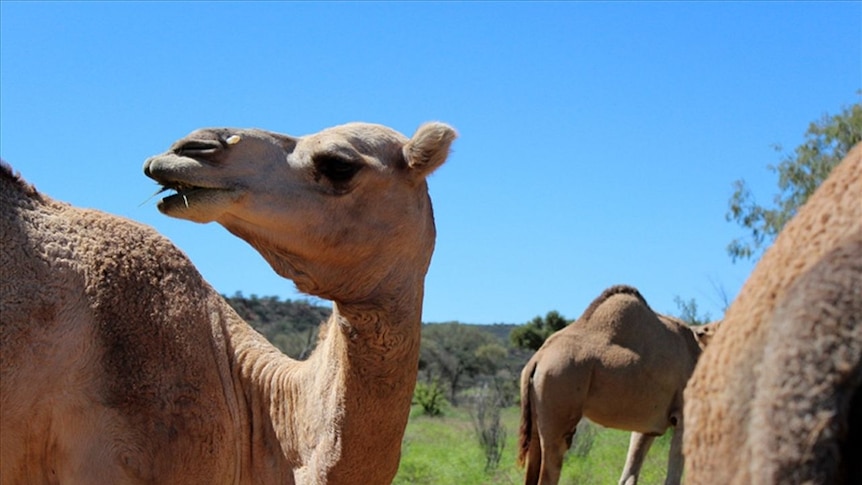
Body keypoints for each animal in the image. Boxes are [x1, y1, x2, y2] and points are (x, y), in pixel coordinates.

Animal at [520, 284, 724, 484]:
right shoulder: (683, 416)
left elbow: (629, 475)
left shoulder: (648, 427)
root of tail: (537, 359)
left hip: (538, 419)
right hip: (558, 402)